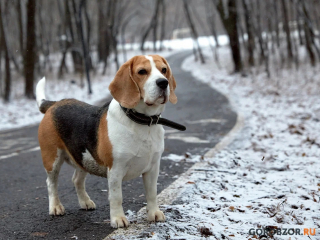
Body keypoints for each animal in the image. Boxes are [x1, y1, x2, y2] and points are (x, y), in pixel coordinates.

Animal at [36, 54, 180, 229]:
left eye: (164, 70)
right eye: (142, 71)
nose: (163, 82)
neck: (142, 122)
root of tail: (54, 104)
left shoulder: (153, 168)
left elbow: (152, 193)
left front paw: (154, 213)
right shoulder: (116, 169)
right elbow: (117, 197)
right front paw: (118, 219)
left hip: (83, 158)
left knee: (76, 180)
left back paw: (85, 202)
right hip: (52, 159)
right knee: (51, 184)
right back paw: (56, 207)